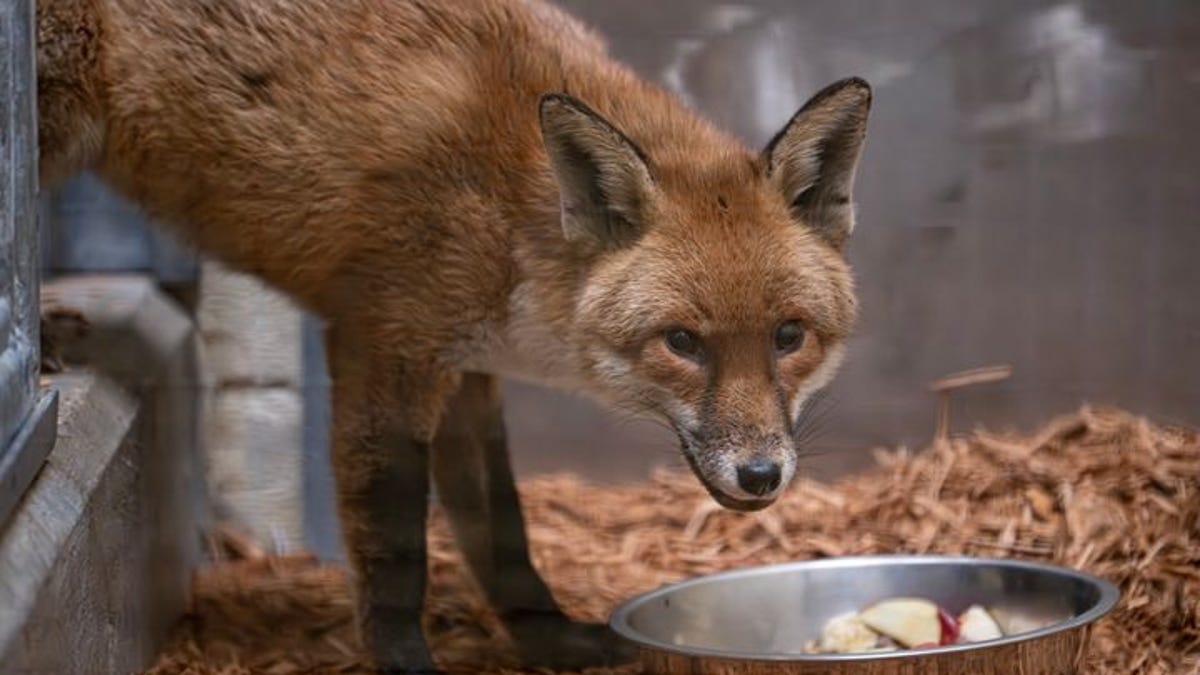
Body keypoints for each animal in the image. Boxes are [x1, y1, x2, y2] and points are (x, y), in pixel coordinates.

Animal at [36, 0, 871, 671]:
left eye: (789, 335)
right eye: (683, 342)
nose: (761, 474)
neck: (511, 212)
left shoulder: (468, 369)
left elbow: (502, 531)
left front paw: (549, 639)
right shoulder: (384, 346)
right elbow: (396, 547)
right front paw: (406, 659)